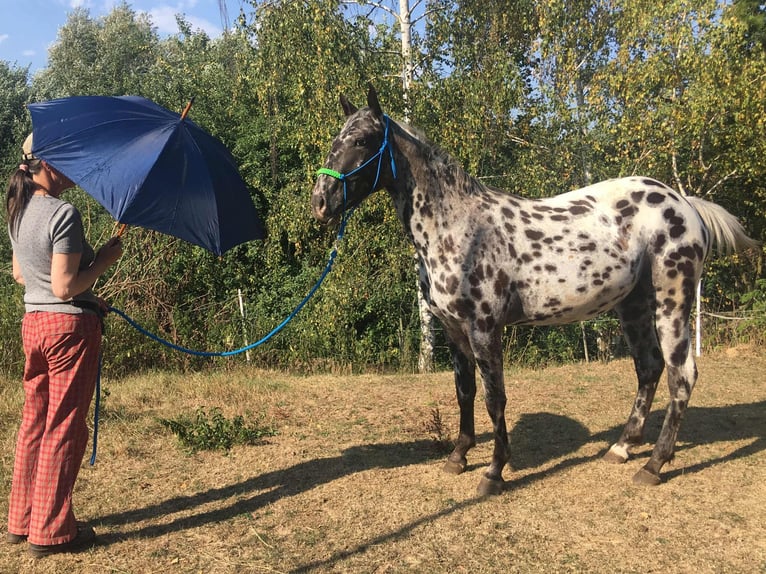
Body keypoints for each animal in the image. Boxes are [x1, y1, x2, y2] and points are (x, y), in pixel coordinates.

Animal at [311, 86, 759, 495]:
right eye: (338, 136)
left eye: (363, 140)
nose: (320, 202)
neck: (458, 227)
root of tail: (685, 204)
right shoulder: (454, 330)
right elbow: (464, 391)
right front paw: (458, 456)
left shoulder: (484, 329)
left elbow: (495, 398)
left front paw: (493, 473)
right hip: (632, 306)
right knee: (648, 367)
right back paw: (622, 447)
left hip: (673, 301)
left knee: (682, 375)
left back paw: (654, 465)